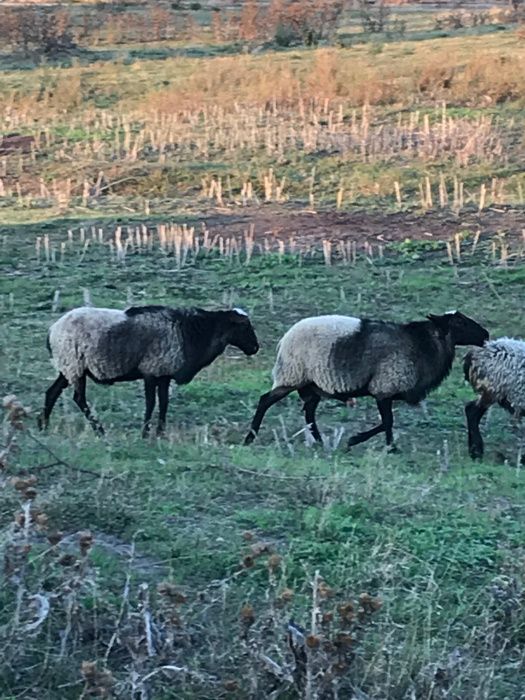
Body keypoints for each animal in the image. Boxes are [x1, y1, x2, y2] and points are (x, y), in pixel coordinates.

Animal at [37, 306, 258, 438]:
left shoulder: (164, 375)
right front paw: (145, 433)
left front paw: (160, 433)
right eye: (244, 326)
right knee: (79, 398)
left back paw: (43, 426)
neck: (191, 332)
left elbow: (164, 403)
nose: (255, 348)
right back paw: (99, 431)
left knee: (52, 392)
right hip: (74, 366)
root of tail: (52, 330)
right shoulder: (151, 371)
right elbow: (151, 403)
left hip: (68, 368)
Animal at [243, 310, 488, 448]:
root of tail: (285, 339)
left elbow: (386, 422)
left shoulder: (385, 391)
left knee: (309, 413)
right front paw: (387, 447)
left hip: (312, 386)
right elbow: (387, 422)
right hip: (292, 376)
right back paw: (249, 438)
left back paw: (320, 443)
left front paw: (367, 442)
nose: (485, 334)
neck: (423, 345)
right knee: (265, 400)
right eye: (460, 323)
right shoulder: (384, 388)